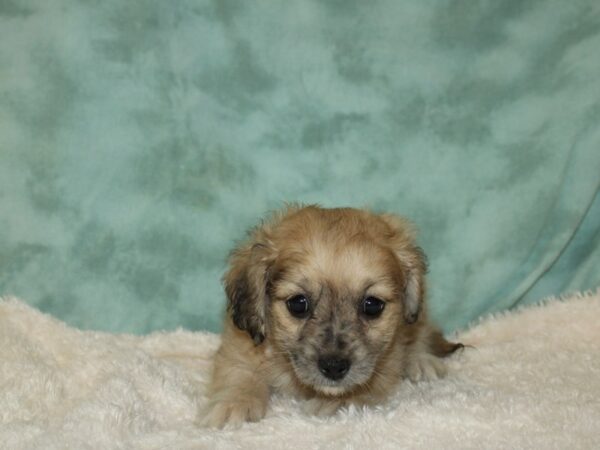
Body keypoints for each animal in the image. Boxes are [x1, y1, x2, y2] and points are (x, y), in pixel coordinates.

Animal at [204, 206, 462, 428]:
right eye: (298, 304)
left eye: (372, 306)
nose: (334, 367)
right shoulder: (239, 344)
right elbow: (238, 370)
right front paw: (234, 403)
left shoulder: (387, 360)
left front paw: (339, 401)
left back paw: (422, 360)